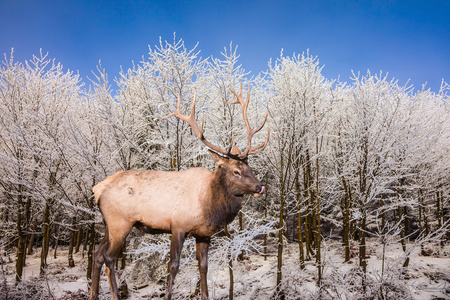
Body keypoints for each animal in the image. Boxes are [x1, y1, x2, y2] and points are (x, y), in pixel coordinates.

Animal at [89, 84, 268, 300]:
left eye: (250, 168)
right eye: (236, 171)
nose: (260, 187)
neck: (209, 204)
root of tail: (98, 189)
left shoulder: (203, 234)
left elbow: (203, 267)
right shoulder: (178, 226)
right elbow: (173, 266)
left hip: (108, 224)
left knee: (97, 255)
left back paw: (92, 295)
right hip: (120, 222)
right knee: (109, 257)